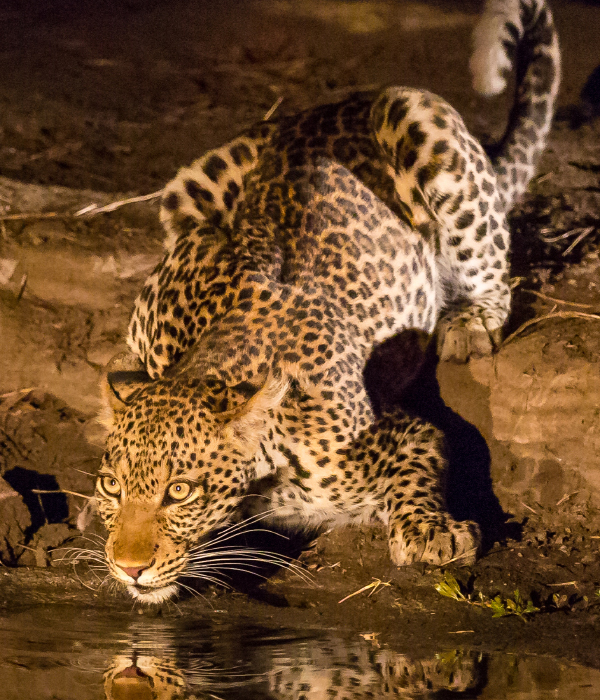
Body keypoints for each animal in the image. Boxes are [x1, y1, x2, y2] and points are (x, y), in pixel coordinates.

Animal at [94, 0, 556, 604]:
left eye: (180, 491)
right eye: (111, 485)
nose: (128, 567)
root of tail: (336, 104)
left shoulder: (400, 433)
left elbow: (416, 472)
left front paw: (431, 532)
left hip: (420, 117)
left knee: (489, 261)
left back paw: (471, 322)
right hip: (189, 184)